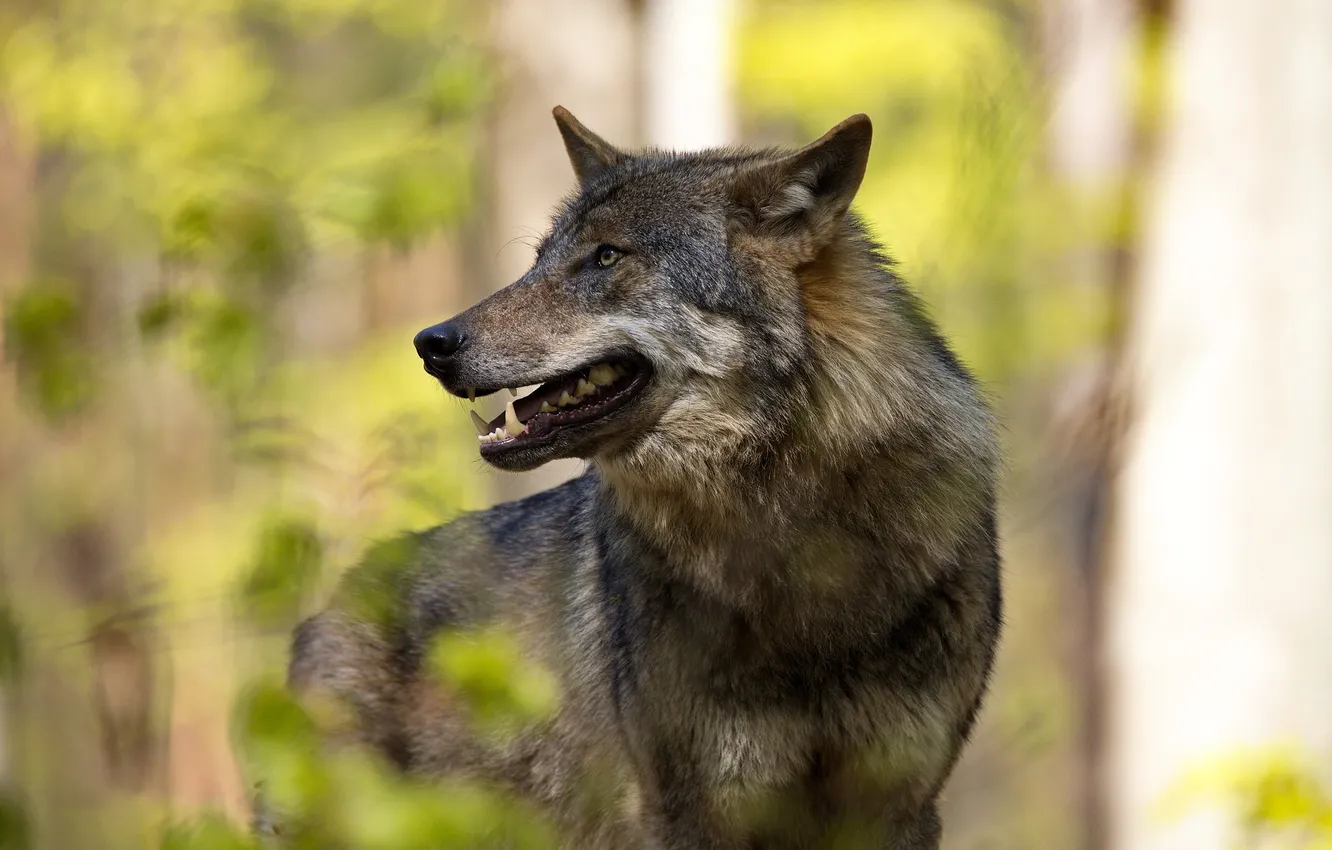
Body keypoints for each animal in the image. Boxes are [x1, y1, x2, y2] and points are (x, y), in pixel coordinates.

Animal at [285, 107, 1002, 849]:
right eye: (538, 259)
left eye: (606, 256)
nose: (431, 343)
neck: (800, 555)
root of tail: (336, 598)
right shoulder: (687, 810)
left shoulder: (899, 808)